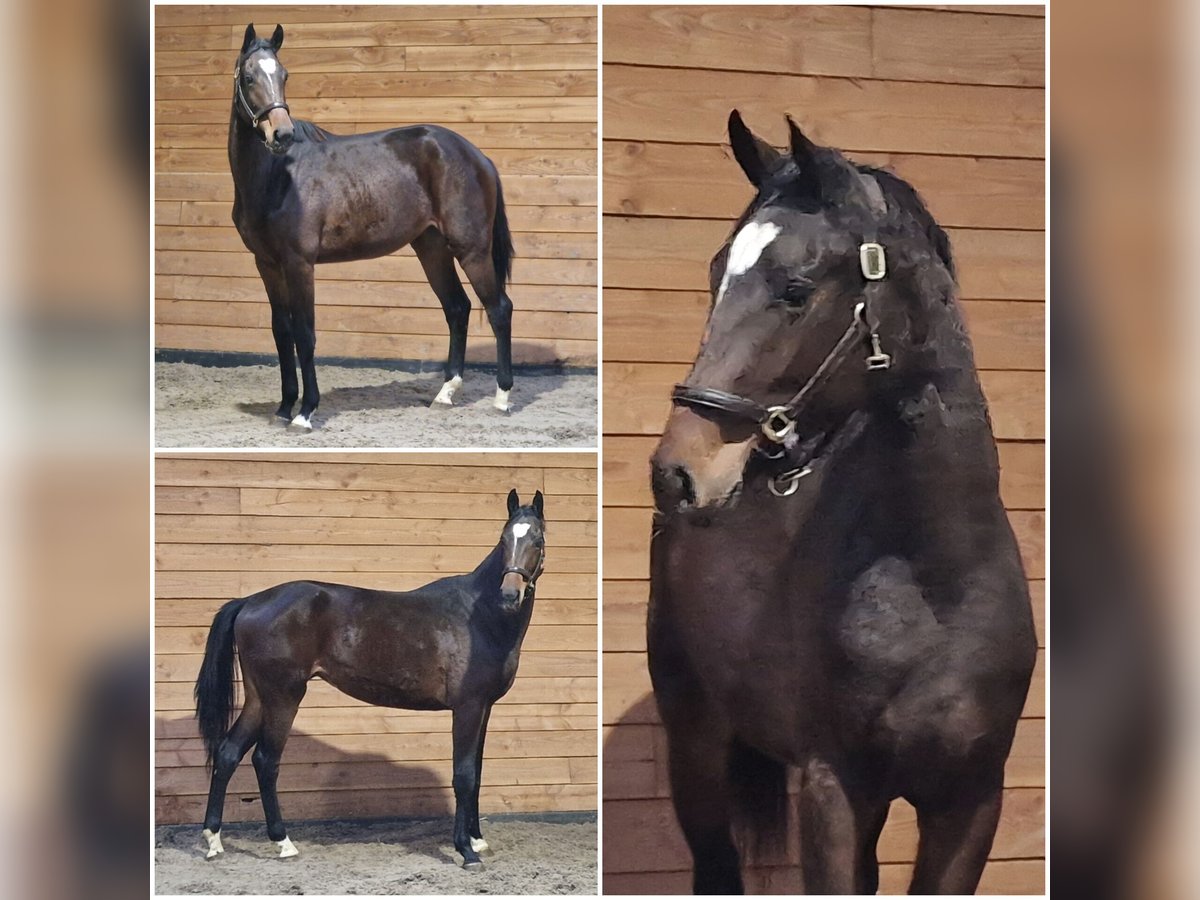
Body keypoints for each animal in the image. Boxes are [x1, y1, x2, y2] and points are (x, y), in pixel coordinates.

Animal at [193, 489, 546, 867]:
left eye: (537, 540)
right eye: (503, 539)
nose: (510, 595)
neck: (479, 616)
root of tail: (249, 601)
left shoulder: (484, 708)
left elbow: (477, 774)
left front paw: (478, 841)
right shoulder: (467, 707)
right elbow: (463, 775)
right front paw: (465, 851)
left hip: (259, 697)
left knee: (228, 753)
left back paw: (214, 840)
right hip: (283, 697)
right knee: (265, 760)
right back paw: (283, 843)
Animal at [228, 24, 518, 430]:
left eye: (284, 75)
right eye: (250, 77)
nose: (281, 135)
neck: (276, 177)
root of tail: (479, 157)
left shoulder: (299, 263)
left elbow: (305, 334)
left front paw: (305, 411)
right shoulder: (267, 264)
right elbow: (282, 332)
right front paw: (285, 407)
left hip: (471, 248)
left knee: (498, 308)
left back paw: (502, 398)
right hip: (431, 248)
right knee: (457, 307)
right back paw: (445, 394)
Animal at [647, 111, 1037, 894]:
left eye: (795, 289)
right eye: (715, 273)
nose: (679, 473)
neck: (934, 585)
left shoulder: (970, 801)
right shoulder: (833, 789)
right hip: (695, 742)